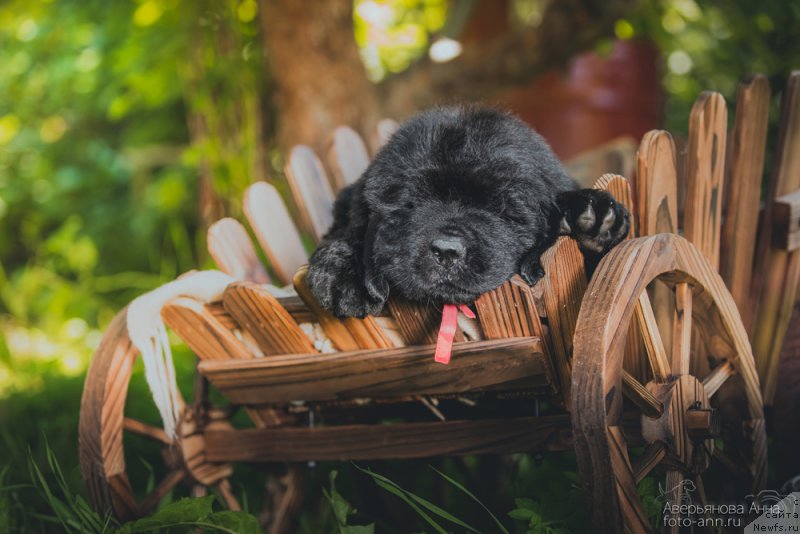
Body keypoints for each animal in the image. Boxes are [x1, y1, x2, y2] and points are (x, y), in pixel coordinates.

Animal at [310, 107, 628, 320]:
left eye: (503, 211)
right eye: (411, 204)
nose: (447, 251)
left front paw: (590, 220)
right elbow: (348, 232)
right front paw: (350, 277)